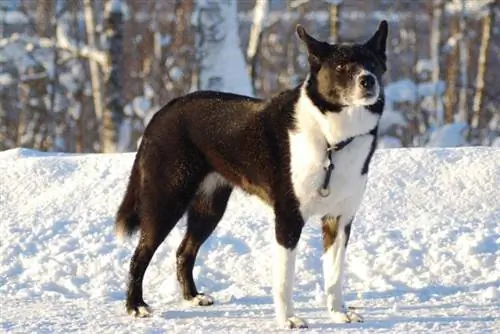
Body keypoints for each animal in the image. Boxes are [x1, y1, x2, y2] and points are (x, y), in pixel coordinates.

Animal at [115, 20, 388, 328]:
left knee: (184, 251)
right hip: (166, 201)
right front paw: (288, 319)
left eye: (373, 64)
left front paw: (339, 312)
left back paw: (193, 297)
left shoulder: (339, 220)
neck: (332, 138)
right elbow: (284, 280)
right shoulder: (288, 219)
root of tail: (162, 112)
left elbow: (335, 274)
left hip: (209, 207)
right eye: (341, 66)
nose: (368, 80)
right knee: (139, 256)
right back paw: (135, 306)